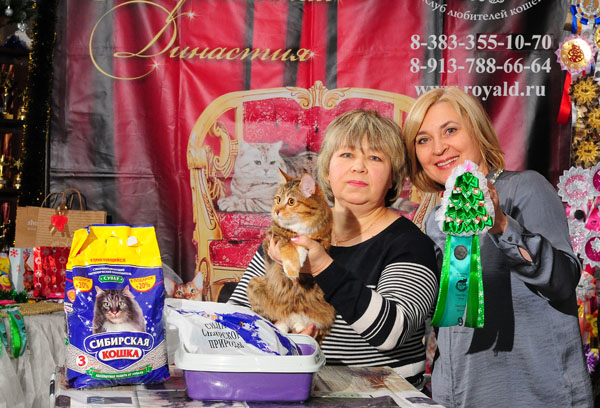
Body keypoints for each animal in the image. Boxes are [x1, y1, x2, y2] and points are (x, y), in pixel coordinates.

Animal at [247, 170, 336, 343]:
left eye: (291, 201)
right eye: (278, 199)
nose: (276, 211)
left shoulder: (323, 242)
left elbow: (302, 243)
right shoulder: (271, 239)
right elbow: (287, 244)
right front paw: (293, 268)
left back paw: (300, 325)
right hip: (255, 284)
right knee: (278, 320)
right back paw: (282, 327)